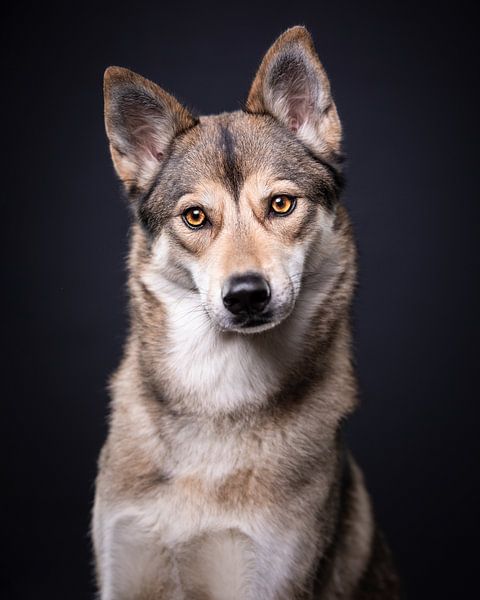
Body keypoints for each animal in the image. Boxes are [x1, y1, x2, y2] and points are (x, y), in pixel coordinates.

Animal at [92, 25, 400, 596]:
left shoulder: (266, 577)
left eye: (281, 204)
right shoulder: (124, 571)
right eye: (195, 216)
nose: (246, 294)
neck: (218, 397)